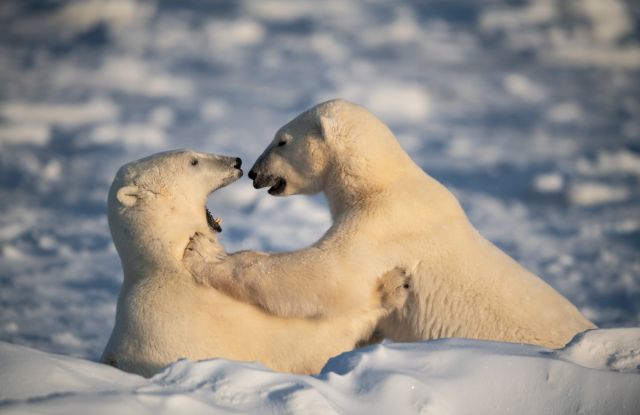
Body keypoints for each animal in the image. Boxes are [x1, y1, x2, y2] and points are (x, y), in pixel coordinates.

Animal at [100, 150, 410, 380]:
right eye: (193, 161)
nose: (236, 162)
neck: (171, 263)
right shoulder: (214, 320)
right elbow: (308, 342)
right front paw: (392, 287)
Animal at [185, 100, 596, 348]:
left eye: (282, 140)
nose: (255, 172)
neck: (380, 182)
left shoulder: (385, 225)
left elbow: (329, 275)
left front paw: (205, 255)